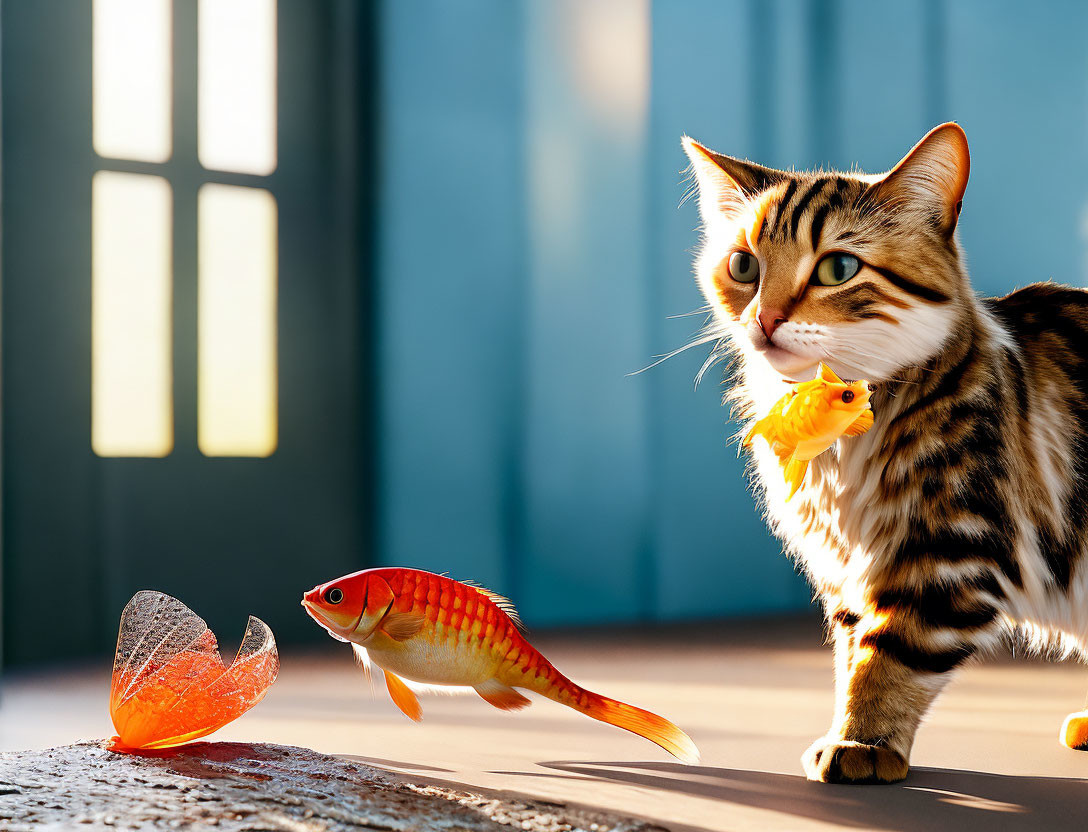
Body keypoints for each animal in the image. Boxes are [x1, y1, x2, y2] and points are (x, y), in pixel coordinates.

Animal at [683, 121, 1088, 778]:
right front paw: (855, 731)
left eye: (838, 268)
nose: (764, 318)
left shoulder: (949, 552)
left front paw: (861, 743)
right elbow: (853, 654)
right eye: (743, 265)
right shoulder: (846, 569)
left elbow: (889, 660)